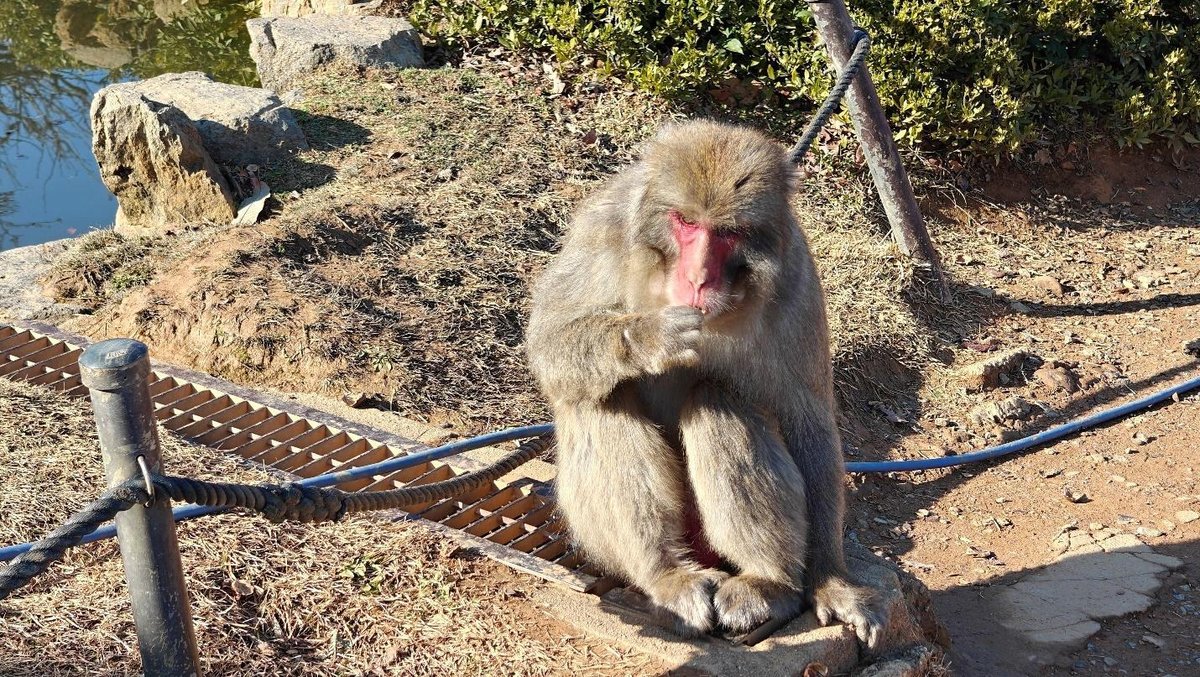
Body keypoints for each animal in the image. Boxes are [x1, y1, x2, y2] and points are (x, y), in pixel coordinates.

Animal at [524, 120, 884, 647]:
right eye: (687, 222)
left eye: (727, 233)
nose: (697, 277)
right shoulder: (602, 230)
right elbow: (548, 343)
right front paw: (647, 337)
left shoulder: (796, 280)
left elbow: (808, 420)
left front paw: (831, 581)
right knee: (601, 397)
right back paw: (666, 574)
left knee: (716, 397)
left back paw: (767, 580)